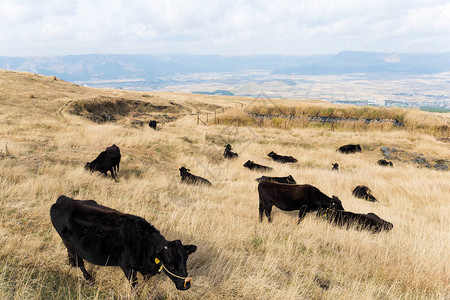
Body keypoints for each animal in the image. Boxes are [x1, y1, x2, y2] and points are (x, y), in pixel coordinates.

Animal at [49, 196, 197, 290]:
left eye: (185, 260)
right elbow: (134, 286)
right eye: (170, 264)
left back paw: (71, 265)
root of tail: (64, 199)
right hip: (69, 243)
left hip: (69, 243)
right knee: (80, 262)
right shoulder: (127, 267)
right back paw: (89, 279)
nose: (186, 285)